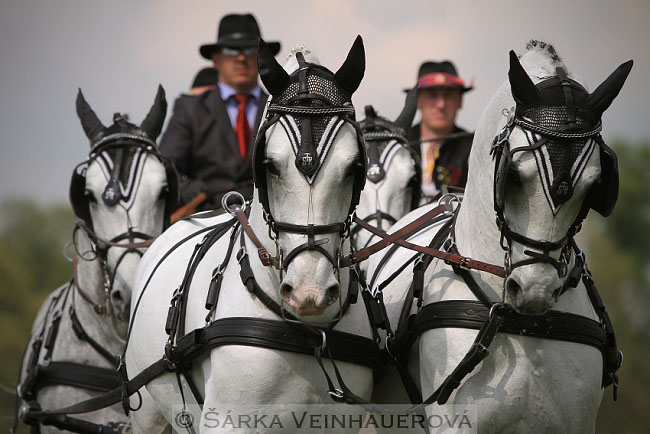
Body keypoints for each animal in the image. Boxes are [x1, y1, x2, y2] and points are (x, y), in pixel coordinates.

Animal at [124, 38, 378, 434]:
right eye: (270, 166)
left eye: (354, 167)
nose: (309, 292)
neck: (308, 332)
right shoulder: (228, 422)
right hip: (149, 413)